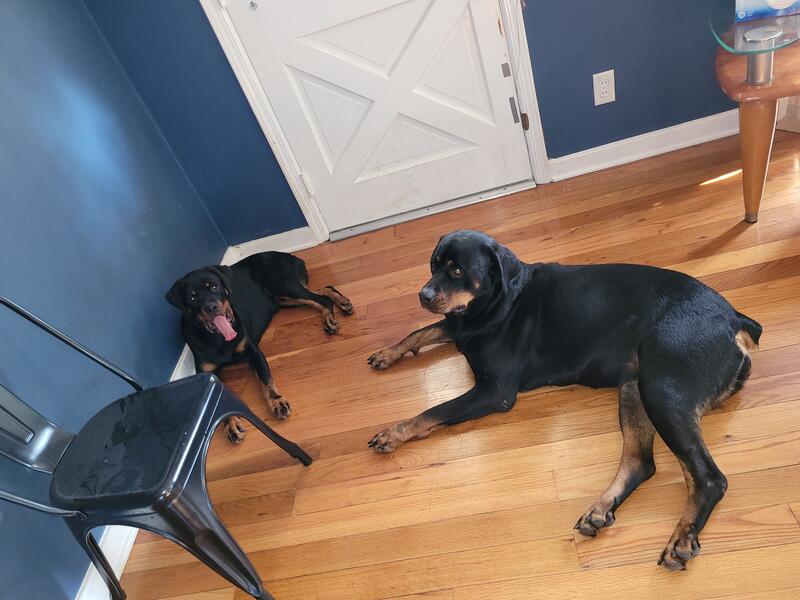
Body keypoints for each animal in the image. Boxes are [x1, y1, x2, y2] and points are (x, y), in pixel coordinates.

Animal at [167, 251, 352, 443]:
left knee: (321, 299)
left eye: (214, 287)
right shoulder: (208, 372)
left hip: (283, 286)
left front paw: (277, 402)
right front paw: (231, 425)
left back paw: (330, 317)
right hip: (283, 298)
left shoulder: (253, 352)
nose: (212, 307)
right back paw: (342, 302)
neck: (219, 339)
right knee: (324, 290)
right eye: (192, 297)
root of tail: (289, 256)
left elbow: (266, 381)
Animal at [367, 230, 761, 570]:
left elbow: (433, 410)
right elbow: (420, 331)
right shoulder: (457, 325)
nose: (423, 295)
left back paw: (682, 537)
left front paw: (394, 432)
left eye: (458, 270)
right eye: (433, 265)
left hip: (663, 388)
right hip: (636, 387)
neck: (497, 301)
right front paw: (388, 353)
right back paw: (600, 509)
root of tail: (733, 319)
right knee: (640, 463)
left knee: (708, 478)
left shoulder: (494, 391)